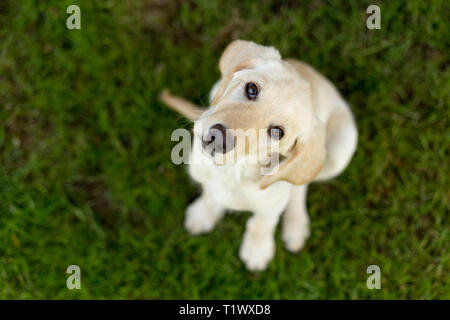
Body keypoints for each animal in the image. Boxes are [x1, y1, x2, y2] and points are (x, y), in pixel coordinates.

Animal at [160, 39, 356, 270]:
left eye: (277, 132)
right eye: (251, 89)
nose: (218, 138)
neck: (233, 171)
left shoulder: (271, 205)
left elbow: (261, 223)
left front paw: (257, 249)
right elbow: (210, 195)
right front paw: (203, 214)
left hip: (341, 149)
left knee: (300, 187)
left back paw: (296, 225)